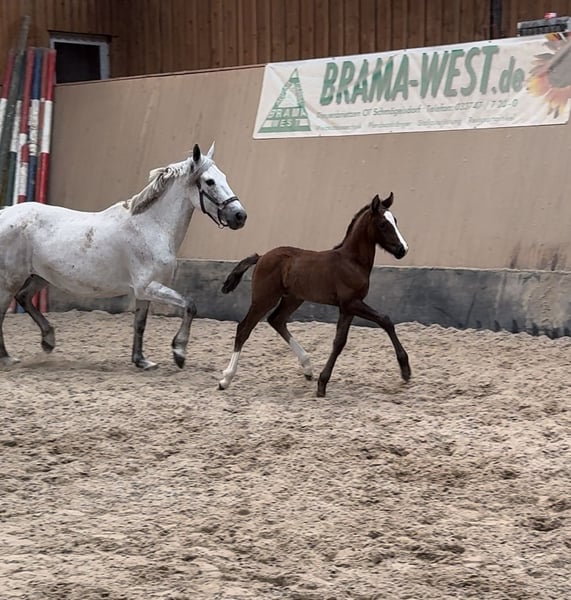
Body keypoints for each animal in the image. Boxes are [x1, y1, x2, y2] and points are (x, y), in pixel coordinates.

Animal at [0, 142, 247, 370]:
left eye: (223, 177)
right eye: (209, 181)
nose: (240, 216)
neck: (151, 226)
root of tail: (5, 212)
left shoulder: (144, 292)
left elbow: (140, 324)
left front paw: (142, 361)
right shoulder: (147, 287)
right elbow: (190, 305)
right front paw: (179, 353)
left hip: (40, 276)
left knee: (23, 297)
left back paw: (48, 340)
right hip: (11, 280)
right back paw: (7, 357)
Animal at [218, 192, 410, 397]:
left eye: (395, 220)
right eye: (382, 224)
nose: (403, 249)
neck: (352, 262)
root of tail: (261, 257)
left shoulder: (348, 308)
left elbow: (340, 342)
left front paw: (322, 382)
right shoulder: (351, 303)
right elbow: (385, 320)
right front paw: (405, 370)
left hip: (294, 298)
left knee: (276, 320)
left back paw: (308, 368)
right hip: (264, 298)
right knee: (244, 328)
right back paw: (226, 379)